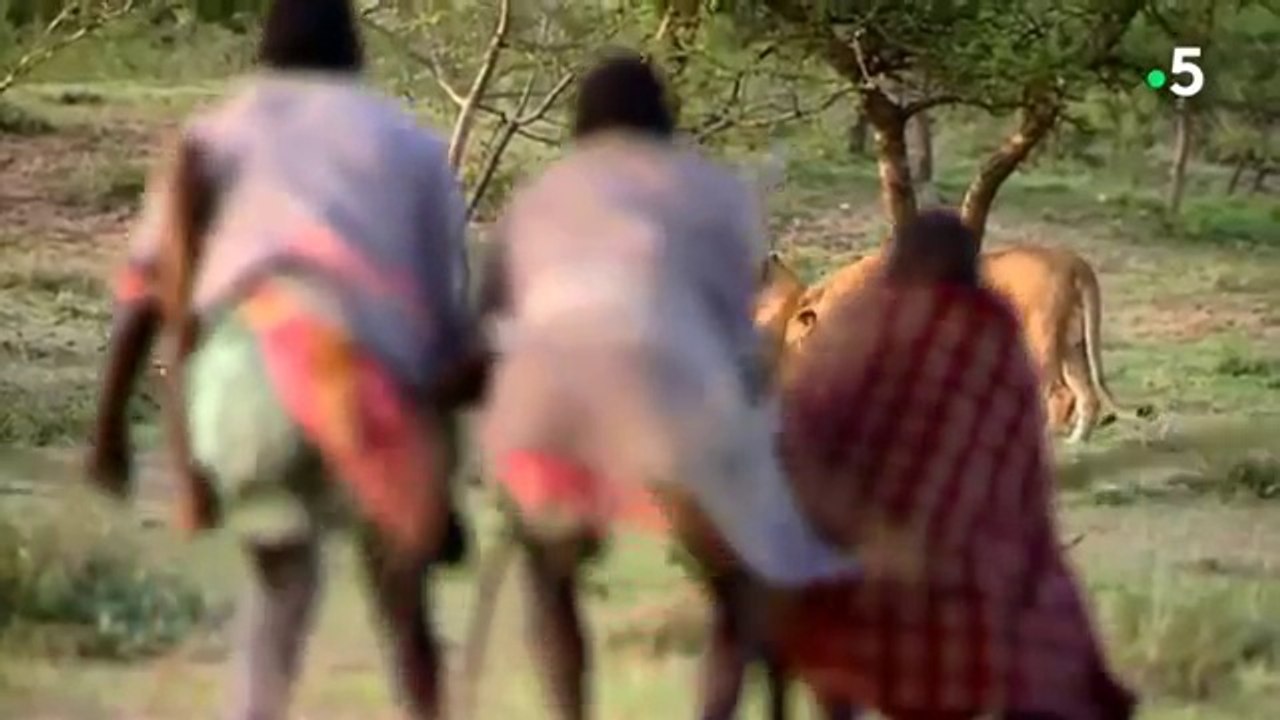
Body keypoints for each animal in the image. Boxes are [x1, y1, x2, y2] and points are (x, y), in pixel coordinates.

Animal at [771, 245, 1153, 443]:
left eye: (790, 341)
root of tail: (1074, 261)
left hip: (1040, 336)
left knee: (1060, 393)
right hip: (1072, 343)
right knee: (1087, 395)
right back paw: (1077, 443)